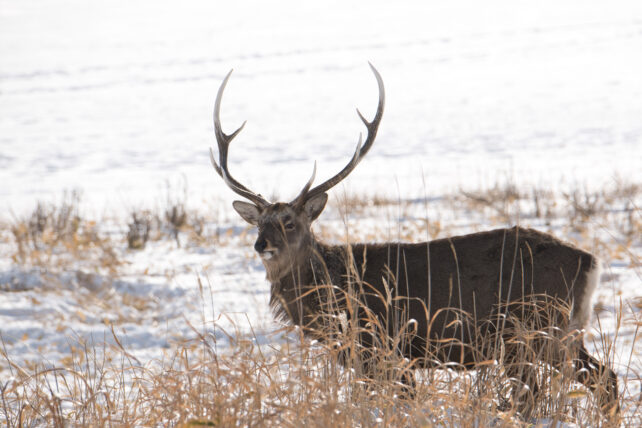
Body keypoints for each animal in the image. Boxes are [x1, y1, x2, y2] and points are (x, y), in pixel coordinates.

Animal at [208, 65, 616, 416]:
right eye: (259, 224)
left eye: (290, 222)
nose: (262, 245)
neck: (333, 292)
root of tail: (591, 262)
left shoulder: (384, 344)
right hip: (555, 333)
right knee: (599, 378)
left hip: (533, 328)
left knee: (564, 387)